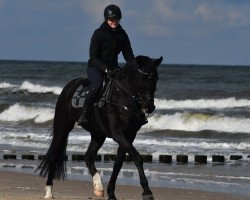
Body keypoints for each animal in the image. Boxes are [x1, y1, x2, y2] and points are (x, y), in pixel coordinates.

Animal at [36, 55, 162, 199]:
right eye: (142, 78)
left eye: (156, 78)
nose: (150, 107)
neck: (122, 99)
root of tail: (69, 86)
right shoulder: (118, 134)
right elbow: (137, 158)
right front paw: (147, 192)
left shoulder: (129, 136)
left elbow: (118, 164)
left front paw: (111, 193)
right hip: (62, 128)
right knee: (54, 155)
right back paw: (48, 192)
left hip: (98, 135)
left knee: (88, 157)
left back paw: (98, 188)